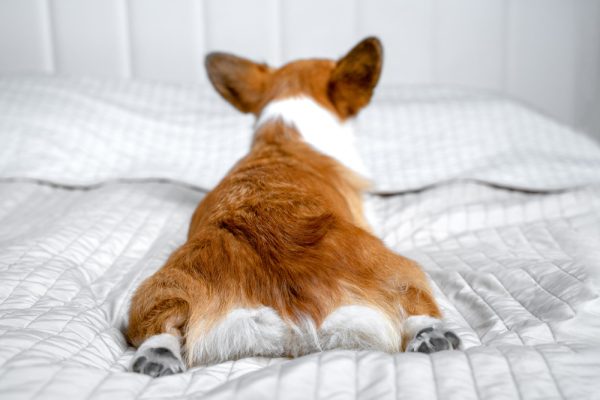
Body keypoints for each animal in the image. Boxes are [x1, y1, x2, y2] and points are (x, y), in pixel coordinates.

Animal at [129, 37, 462, 378]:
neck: (285, 134)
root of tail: (294, 311)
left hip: (159, 289)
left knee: (161, 325)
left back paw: (157, 357)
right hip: (403, 270)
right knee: (415, 304)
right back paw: (432, 334)